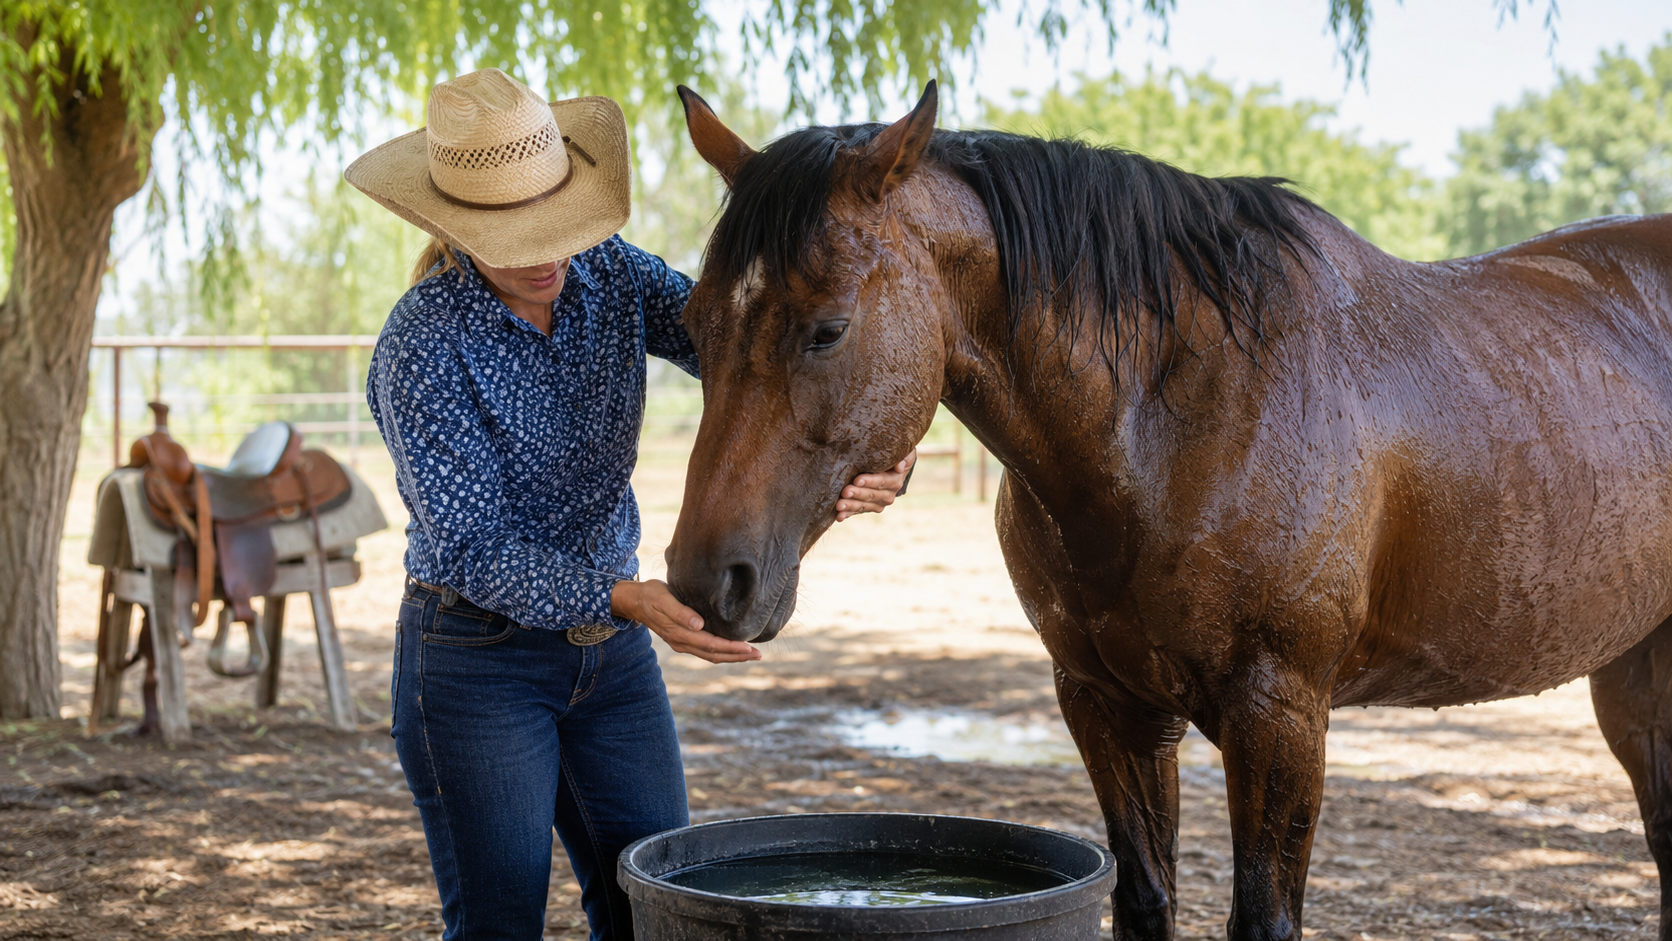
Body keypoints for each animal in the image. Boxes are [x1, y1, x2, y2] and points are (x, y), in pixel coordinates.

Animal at [661, 80, 1672, 940]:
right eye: (696, 323)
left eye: (827, 328)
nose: (708, 582)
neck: (1174, 416)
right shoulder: (1110, 703)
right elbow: (1145, 897)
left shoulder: (1280, 714)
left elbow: (1262, 915)